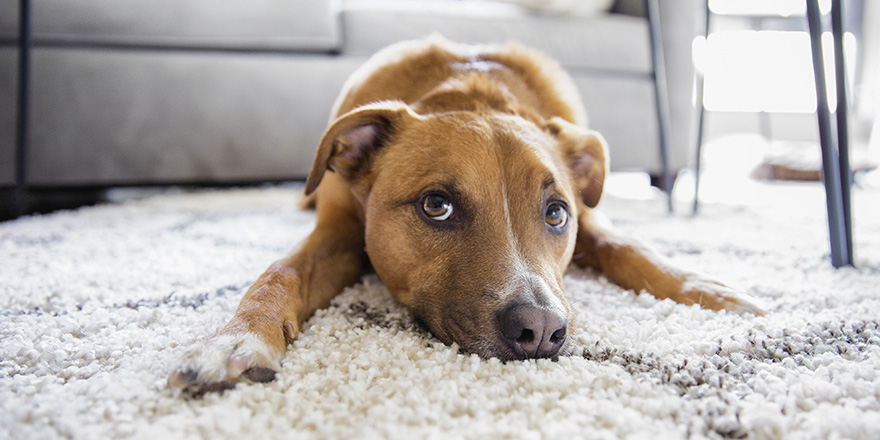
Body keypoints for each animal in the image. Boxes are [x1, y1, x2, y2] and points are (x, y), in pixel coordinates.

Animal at [168, 37, 760, 396]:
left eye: (556, 214)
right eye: (436, 206)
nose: (541, 331)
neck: (472, 95)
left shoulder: (592, 221)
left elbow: (631, 246)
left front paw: (708, 289)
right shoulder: (337, 231)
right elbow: (279, 273)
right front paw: (236, 340)